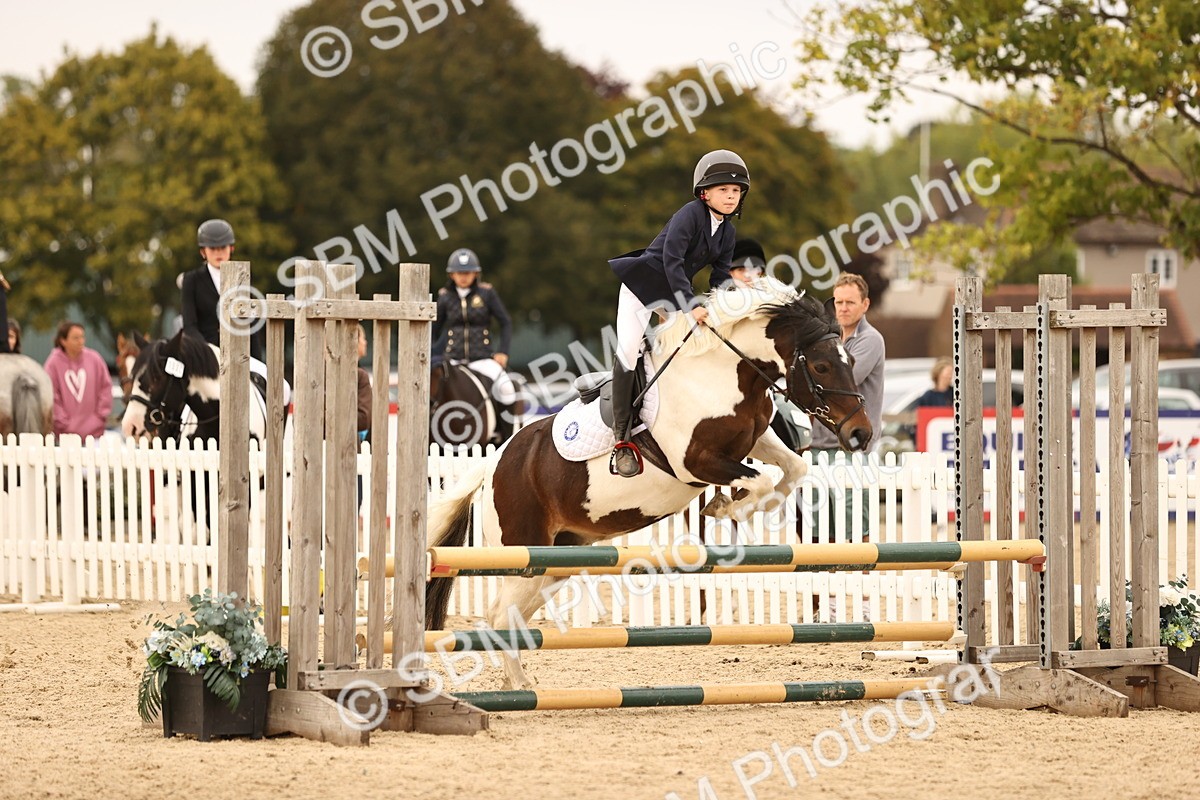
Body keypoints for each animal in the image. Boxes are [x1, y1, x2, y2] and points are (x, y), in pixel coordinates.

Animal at [423, 278, 873, 689]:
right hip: (524, 552)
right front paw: (729, 505)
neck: (722, 375)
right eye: (821, 366)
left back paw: (518, 684)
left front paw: (733, 503)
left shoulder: (755, 440)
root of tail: (492, 466)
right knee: (500, 612)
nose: (861, 435)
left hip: (556, 557)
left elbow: (793, 468)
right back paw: (518, 686)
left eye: (851, 359)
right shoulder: (695, 462)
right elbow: (761, 480)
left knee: (512, 614)